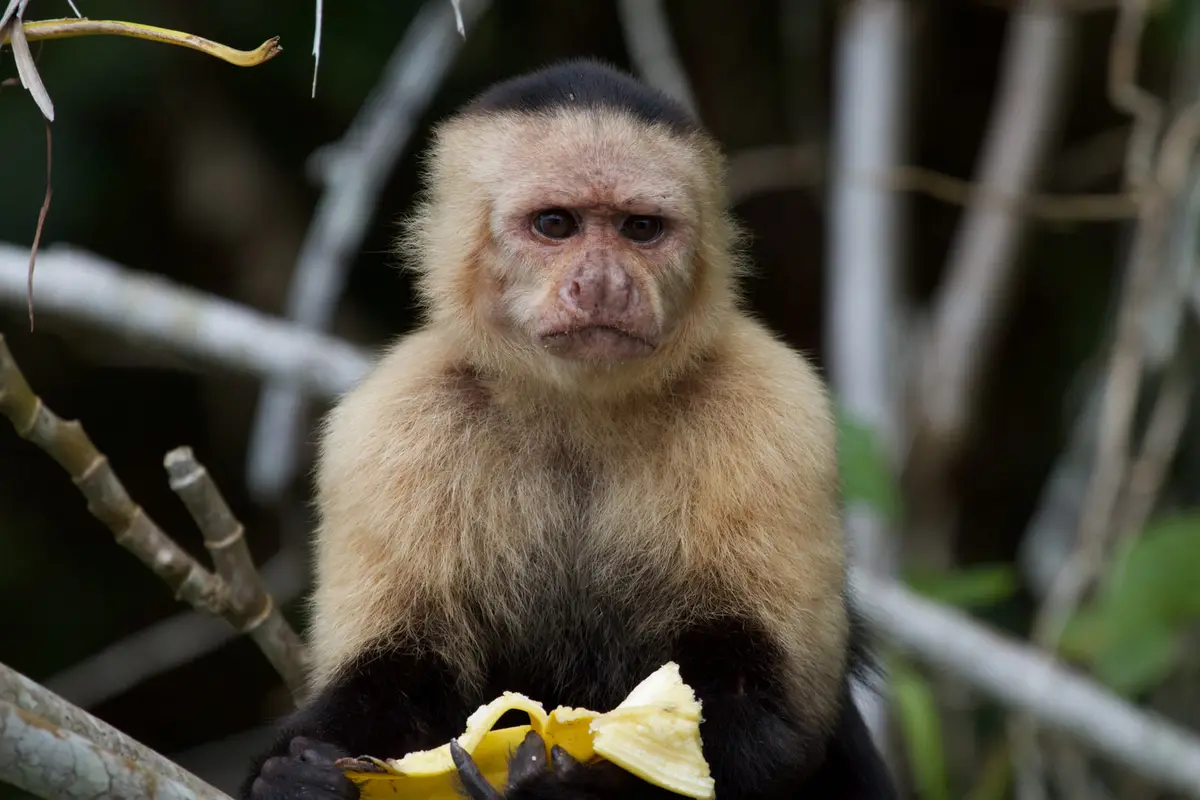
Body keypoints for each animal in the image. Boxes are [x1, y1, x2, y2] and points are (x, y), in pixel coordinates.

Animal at [241, 58, 897, 800]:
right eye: (555, 223)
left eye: (641, 228)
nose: (604, 283)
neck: (581, 411)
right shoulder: (387, 426)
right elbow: (393, 673)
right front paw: (299, 776)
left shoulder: (780, 412)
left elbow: (769, 716)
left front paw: (563, 790)